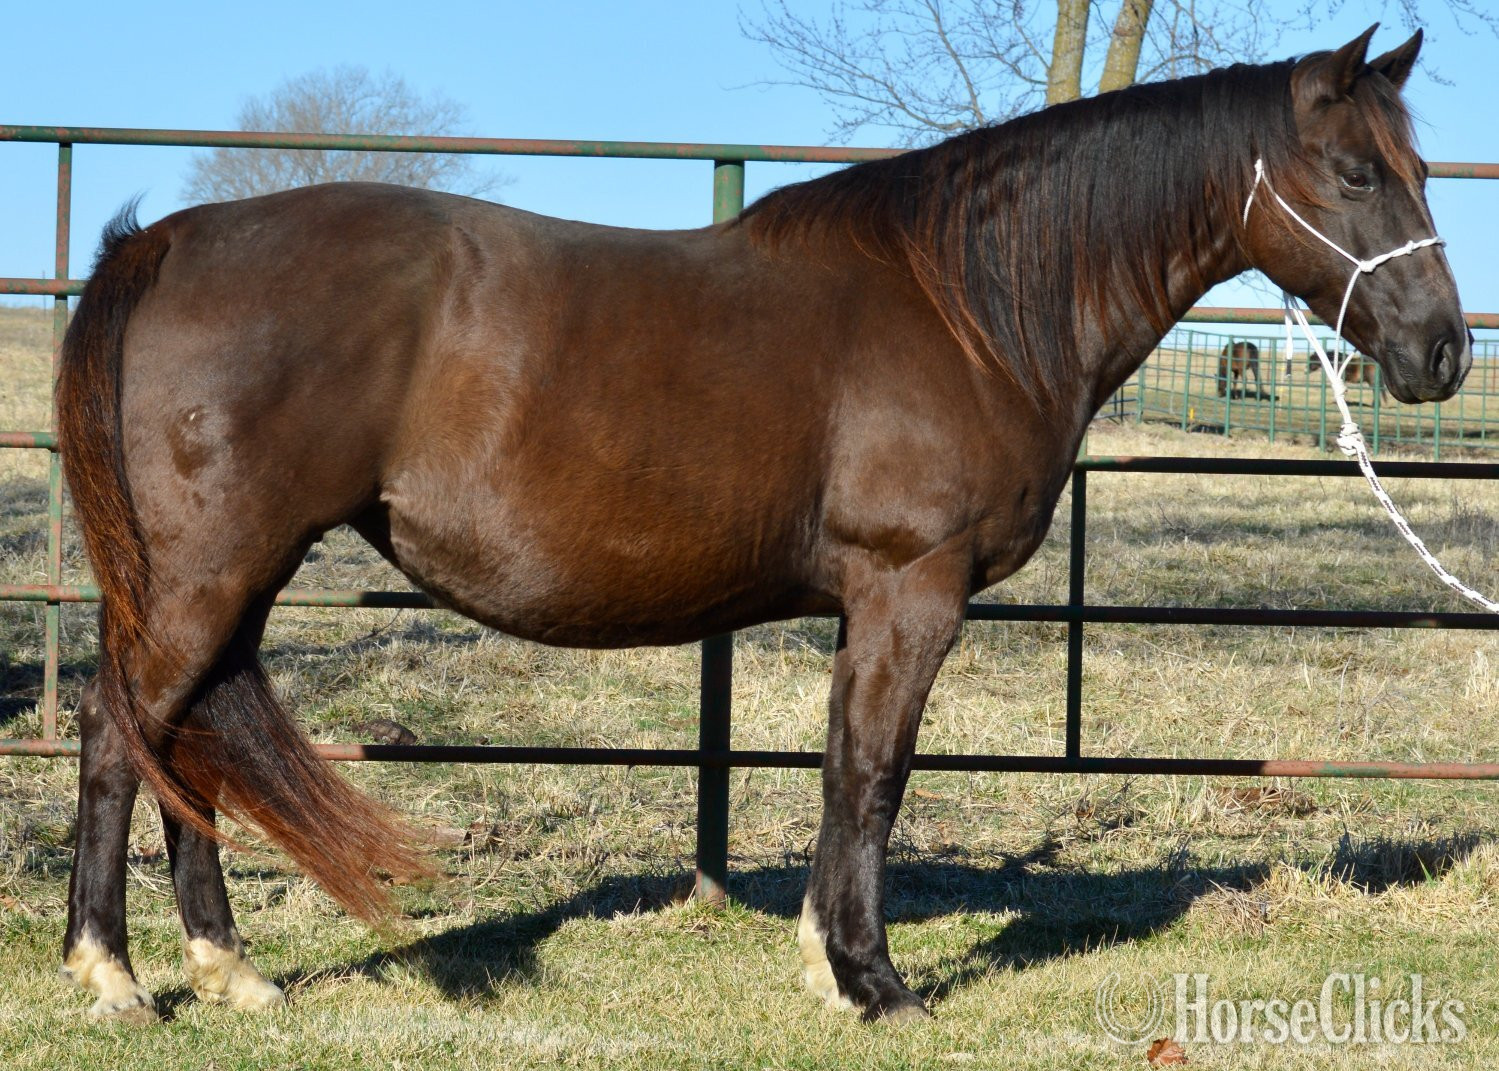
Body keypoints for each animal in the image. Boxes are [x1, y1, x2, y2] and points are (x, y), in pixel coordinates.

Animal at [53, 27, 1468, 1025]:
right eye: (1355, 172)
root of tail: (164, 247)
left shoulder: (871, 606)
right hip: (205, 574)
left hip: (233, 578)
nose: (1442, 353)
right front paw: (873, 983)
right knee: (123, 736)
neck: (966, 308)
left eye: (1419, 170)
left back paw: (230, 970)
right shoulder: (909, 592)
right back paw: (115, 976)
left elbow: (844, 771)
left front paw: (822, 963)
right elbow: (874, 775)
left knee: (190, 745)